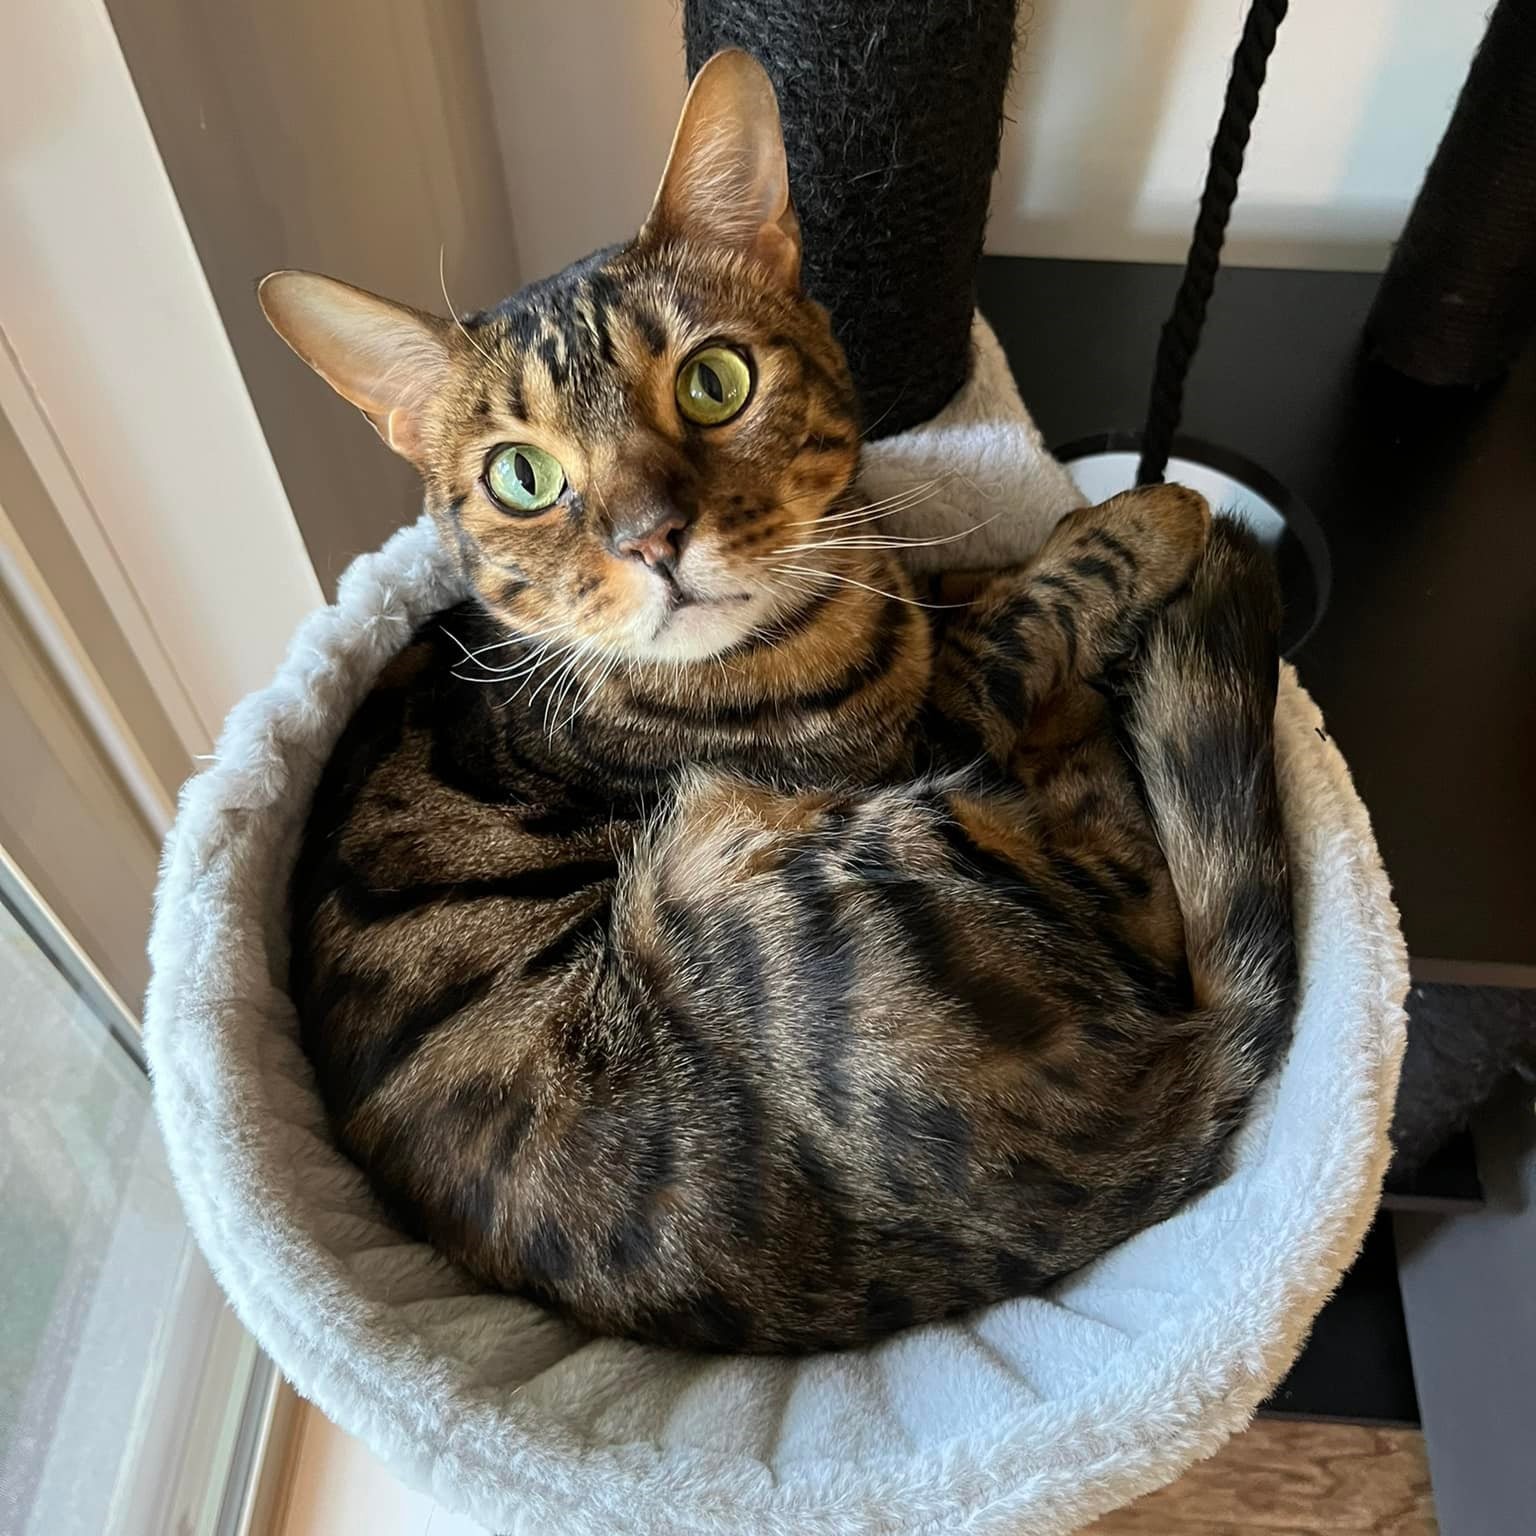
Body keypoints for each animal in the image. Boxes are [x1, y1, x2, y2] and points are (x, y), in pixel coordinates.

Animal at [264, 48, 1296, 1351]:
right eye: (524, 478)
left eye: (715, 382)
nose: (651, 538)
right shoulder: (936, 720)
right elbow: (1021, 616)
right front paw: (1148, 516)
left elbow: (966, 585)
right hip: (858, 865)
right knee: (1137, 868)